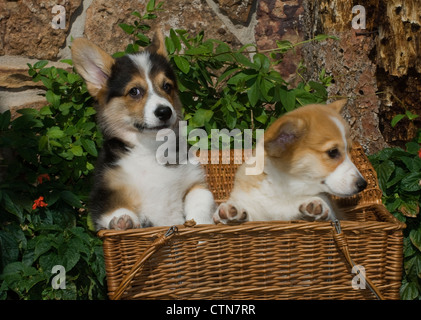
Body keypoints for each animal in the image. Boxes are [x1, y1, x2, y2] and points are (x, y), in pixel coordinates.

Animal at [71, 31, 213, 230]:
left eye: (167, 86)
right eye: (134, 91)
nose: (165, 111)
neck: (151, 149)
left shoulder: (195, 180)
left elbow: (202, 198)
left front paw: (202, 224)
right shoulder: (105, 193)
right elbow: (115, 210)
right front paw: (123, 222)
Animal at [212, 99, 366, 222]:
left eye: (350, 150)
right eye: (333, 152)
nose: (363, 184)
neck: (285, 188)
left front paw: (314, 208)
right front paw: (232, 211)